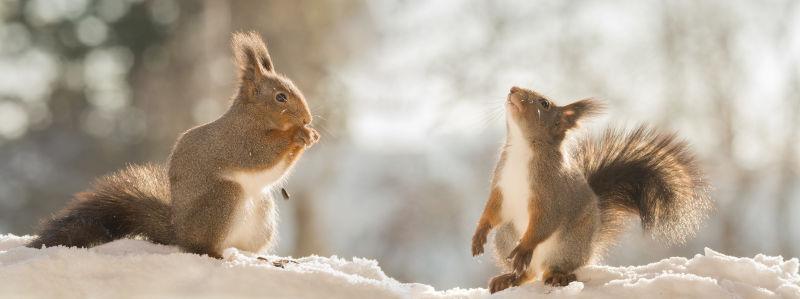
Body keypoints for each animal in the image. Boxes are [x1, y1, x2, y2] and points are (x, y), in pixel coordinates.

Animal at [28, 31, 322, 258]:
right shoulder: (237, 141)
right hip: (222, 198)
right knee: (199, 247)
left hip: (262, 213)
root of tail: (178, 232)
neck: (253, 117)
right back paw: (216, 253)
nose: (307, 118)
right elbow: (261, 154)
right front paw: (299, 134)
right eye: (281, 97)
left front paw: (311, 133)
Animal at [472, 86, 708, 292]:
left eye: (544, 103)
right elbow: (493, 210)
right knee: (527, 274)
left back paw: (557, 275)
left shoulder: (552, 192)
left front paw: (523, 248)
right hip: (505, 237)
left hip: (568, 246)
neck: (522, 148)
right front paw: (479, 234)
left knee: (553, 268)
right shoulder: (501, 185)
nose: (513, 89)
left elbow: (546, 219)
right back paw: (509, 278)